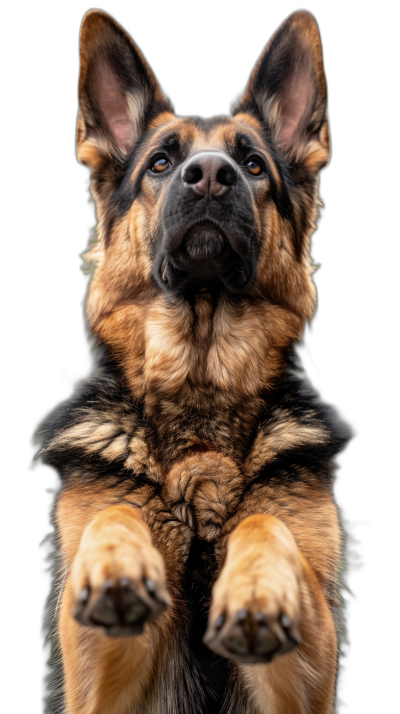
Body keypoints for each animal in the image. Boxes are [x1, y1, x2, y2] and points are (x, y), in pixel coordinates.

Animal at [39, 6, 346, 712]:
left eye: (254, 164)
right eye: (159, 163)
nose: (209, 175)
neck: (200, 379)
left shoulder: (309, 670)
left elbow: (267, 525)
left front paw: (255, 590)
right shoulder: (100, 674)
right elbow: (117, 510)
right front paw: (118, 564)